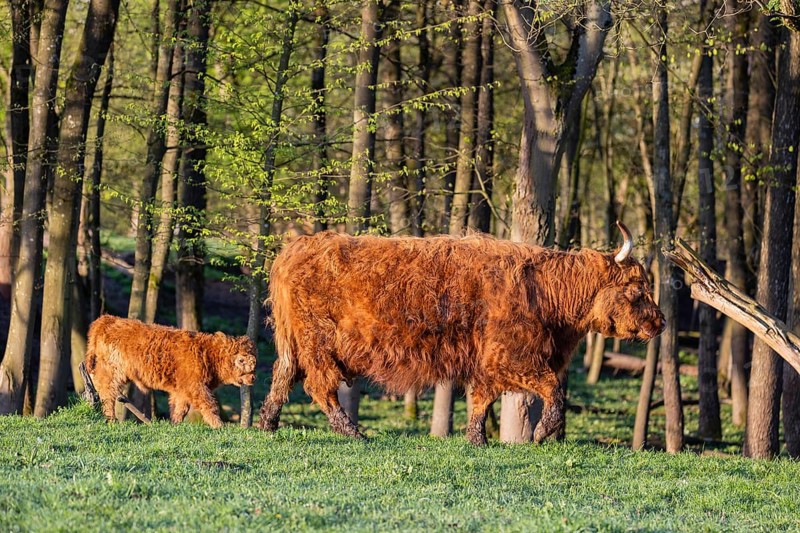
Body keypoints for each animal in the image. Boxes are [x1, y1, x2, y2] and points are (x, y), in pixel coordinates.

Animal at [258, 222, 664, 445]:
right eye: (638, 288)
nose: (660, 323)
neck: (546, 293)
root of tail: (296, 247)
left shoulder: (490, 362)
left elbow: (481, 400)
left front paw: (476, 438)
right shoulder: (513, 356)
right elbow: (554, 390)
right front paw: (539, 433)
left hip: (295, 340)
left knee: (283, 375)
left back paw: (266, 424)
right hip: (318, 341)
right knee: (318, 384)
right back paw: (351, 431)